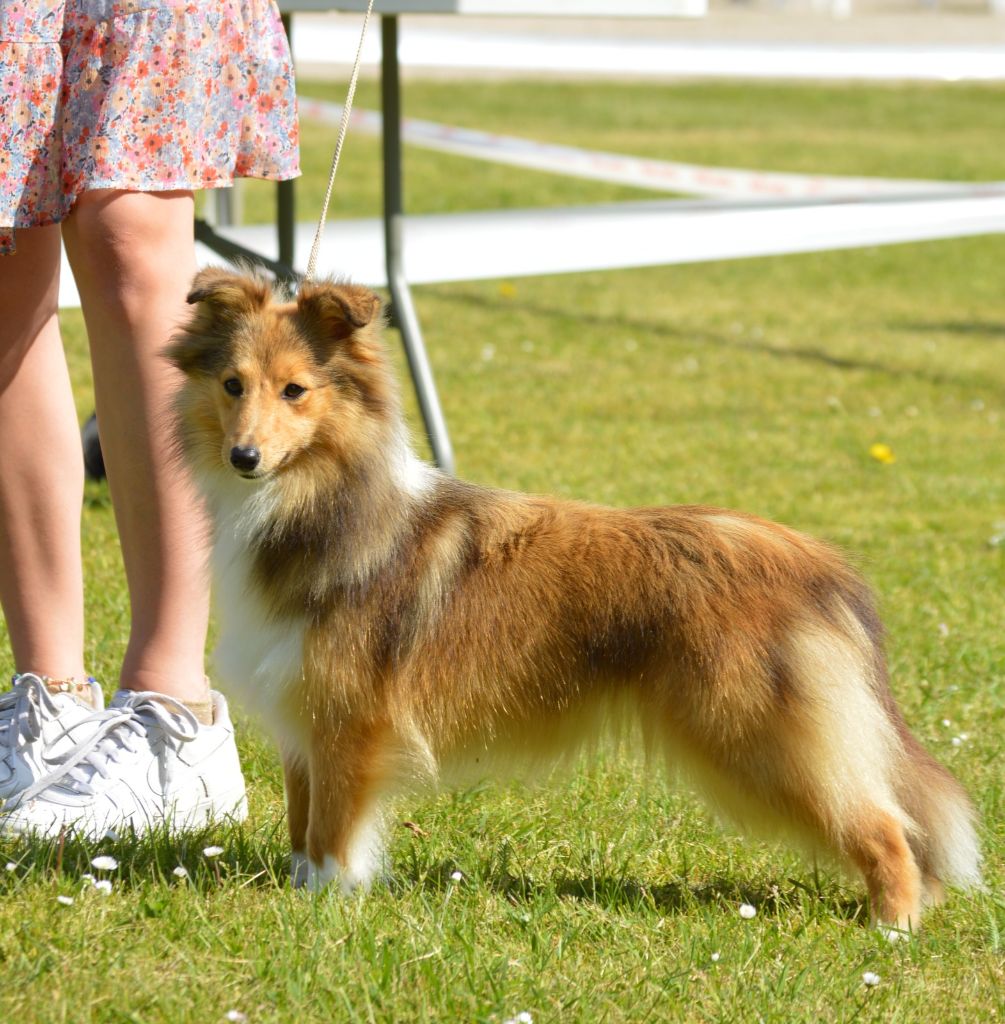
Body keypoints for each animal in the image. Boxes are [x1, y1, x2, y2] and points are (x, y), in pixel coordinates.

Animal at [166, 268, 979, 933]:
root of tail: (819, 565)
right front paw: (299, 893)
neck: (320, 500)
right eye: (233, 384)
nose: (245, 458)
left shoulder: (348, 722)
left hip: (759, 736)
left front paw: (326, 908)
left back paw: (893, 927)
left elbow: (334, 829)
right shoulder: (302, 714)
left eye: (295, 391)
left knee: (885, 825)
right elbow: (303, 824)